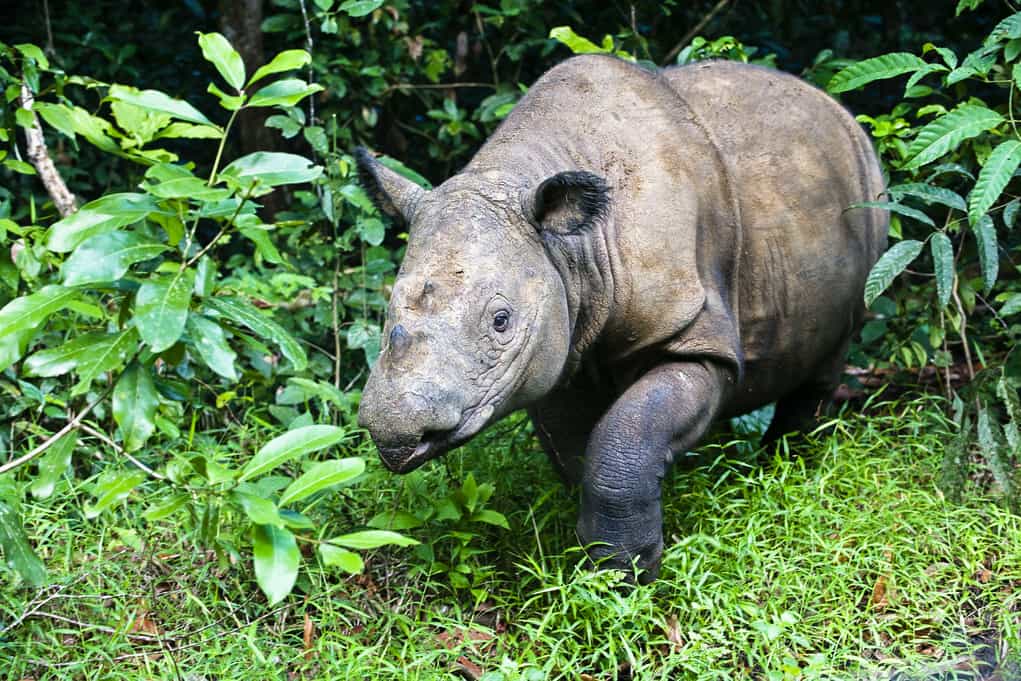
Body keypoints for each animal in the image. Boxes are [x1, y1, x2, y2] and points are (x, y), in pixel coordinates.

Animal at [355, 55, 887, 582]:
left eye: (501, 320)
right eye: (388, 311)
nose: (396, 430)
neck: (571, 249)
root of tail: (832, 105)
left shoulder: (691, 333)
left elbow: (626, 434)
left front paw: (625, 572)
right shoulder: (556, 339)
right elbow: (576, 447)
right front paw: (597, 555)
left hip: (868, 192)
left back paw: (790, 465)